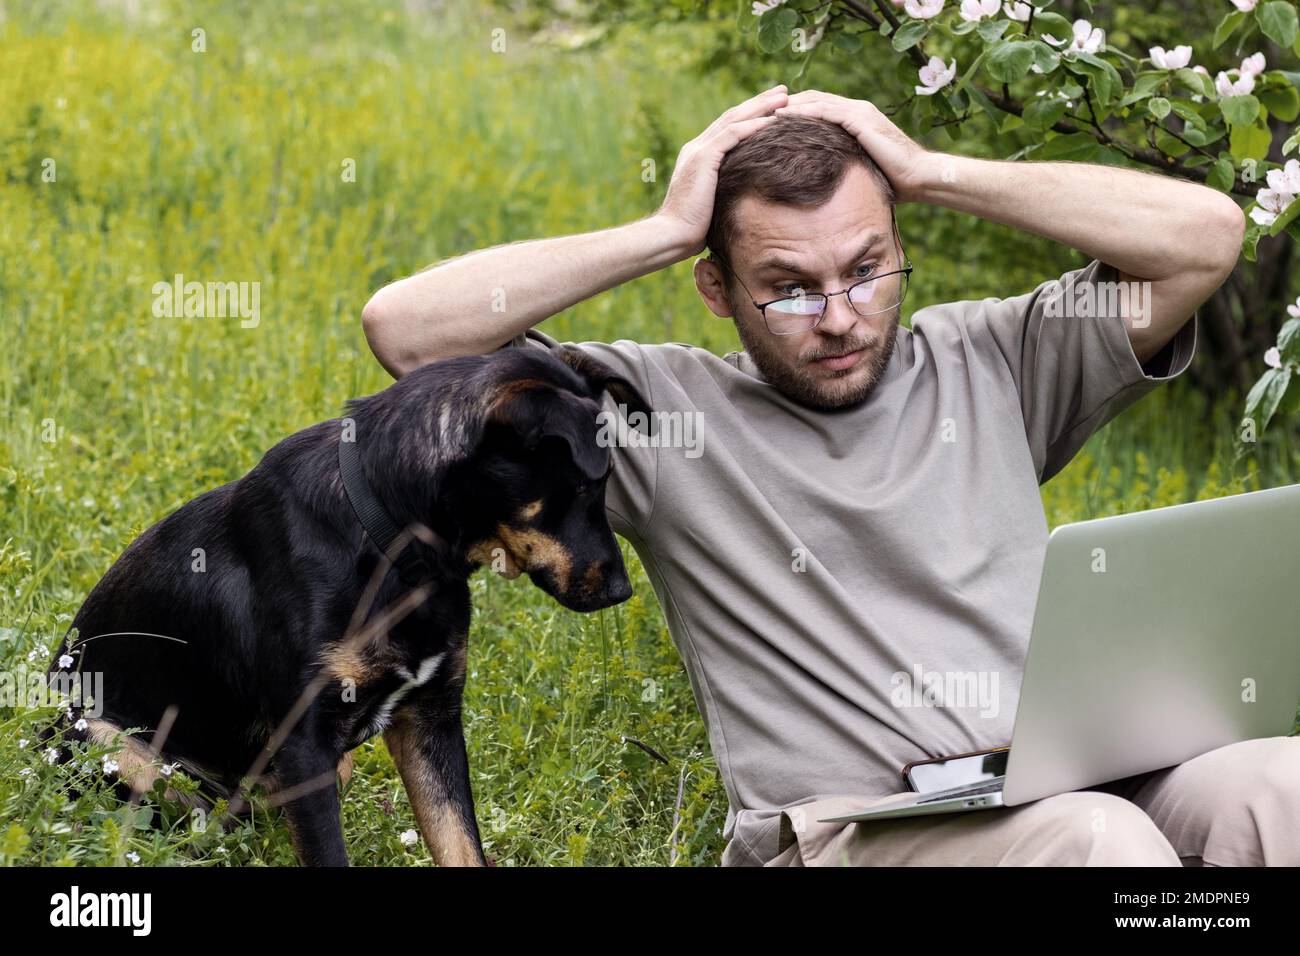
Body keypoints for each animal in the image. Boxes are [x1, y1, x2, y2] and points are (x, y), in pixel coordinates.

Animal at [45, 345, 655, 868]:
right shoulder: (305, 744)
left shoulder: (429, 720)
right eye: (586, 487)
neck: (392, 544)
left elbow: (460, 843)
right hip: (112, 743)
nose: (623, 591)